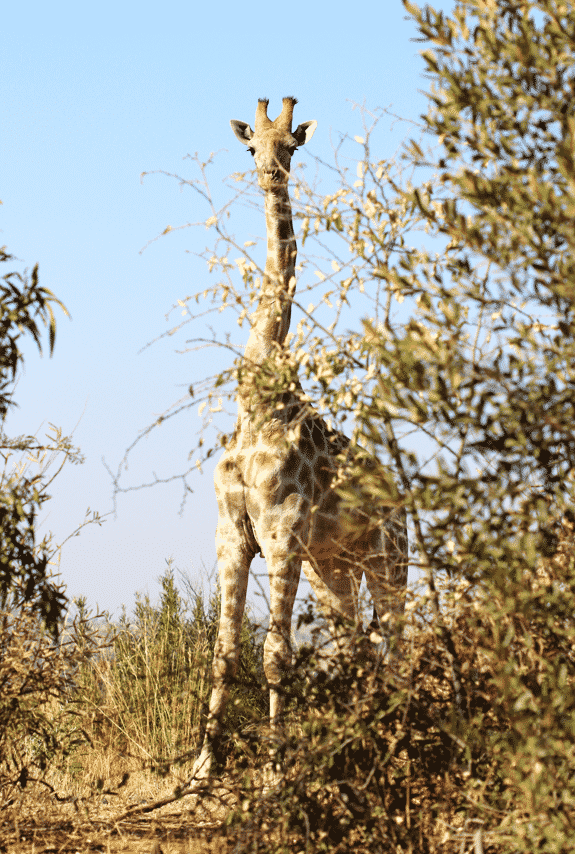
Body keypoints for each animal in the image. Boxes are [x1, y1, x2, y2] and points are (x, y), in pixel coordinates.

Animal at [194, 98, 410, 784]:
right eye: (249, 146)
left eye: (290, 145)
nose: (268, 174)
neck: (259, 400)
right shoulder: (232, 533)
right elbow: (224, 650)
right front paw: (202, 767)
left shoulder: (281, 531)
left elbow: (276, 652)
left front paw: (275, 772)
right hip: (332, 571)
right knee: (356, 648)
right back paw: (365, 749)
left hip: (388, 560)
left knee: (397, 646)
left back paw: (398, 749)